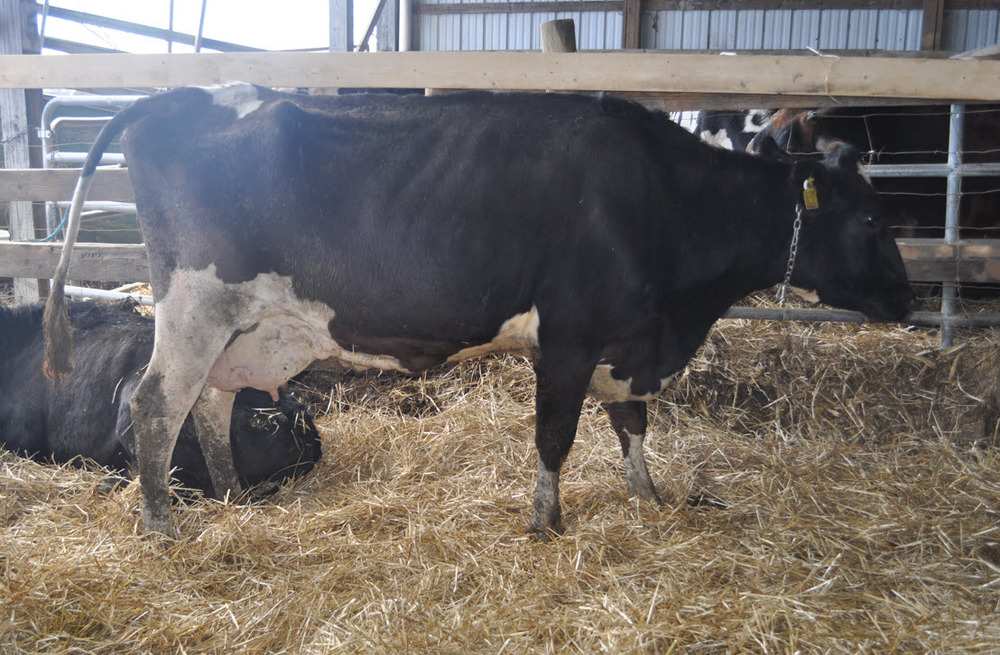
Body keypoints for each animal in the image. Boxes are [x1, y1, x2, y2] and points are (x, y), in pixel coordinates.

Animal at [43, 86, 914, 540]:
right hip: (196, 303)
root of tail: (183, 94)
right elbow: (556, 436)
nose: (908, 299)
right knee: (158, 406)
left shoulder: (625, 340)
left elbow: (632, 425)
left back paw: (234, 497)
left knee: (213, 403)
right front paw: (545, 522)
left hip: (245, 326)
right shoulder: (569, 336)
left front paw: (649, 498)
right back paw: (162, 524)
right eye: (874, 220)